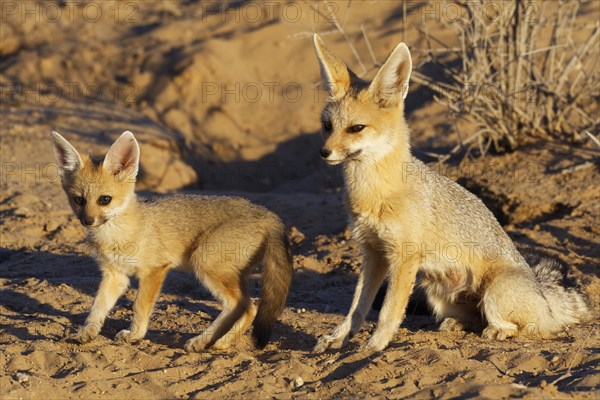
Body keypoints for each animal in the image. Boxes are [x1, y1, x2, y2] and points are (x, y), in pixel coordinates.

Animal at [49, 131, 292, 350]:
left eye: (104, 200)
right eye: (79, 200)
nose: (88, 220)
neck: (120, 234)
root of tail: (267, 213)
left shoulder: (155, 270)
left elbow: (139, 306)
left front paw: (135, 335)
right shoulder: (115, 274)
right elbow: (98, 305)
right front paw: (88, 331)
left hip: (204, 262)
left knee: (242, 305)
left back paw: (205, 341)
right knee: (249, 307)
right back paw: (217, 342)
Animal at [312, 35, 592, 354]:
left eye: (356, 128)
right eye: (327, 126)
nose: (324, 153)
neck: (376, 192)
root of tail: (544, 298)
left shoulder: (404, 257)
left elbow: (389, 310)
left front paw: (374, 345)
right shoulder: (373, 252)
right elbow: (357, 306)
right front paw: (339, 337)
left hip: (493, 293)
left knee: (530, 327)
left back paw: (499, 331)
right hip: (436, 292)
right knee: (475, 320)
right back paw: (458, 325)